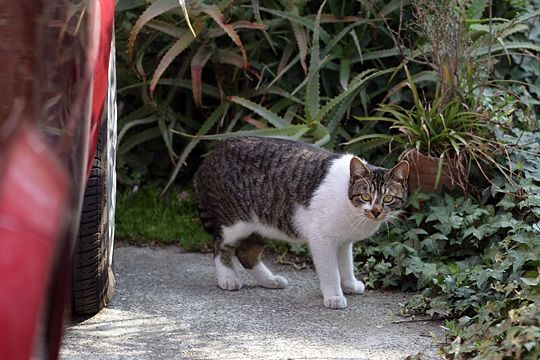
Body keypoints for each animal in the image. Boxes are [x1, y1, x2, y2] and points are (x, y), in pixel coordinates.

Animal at [194, 136, 410, 308]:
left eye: (388, 199)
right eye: (366, 196)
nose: (376, 211)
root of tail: (214, 152)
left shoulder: (343, 241)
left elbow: (346, 264)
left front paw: (349, 284)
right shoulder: (321, 238)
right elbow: (331, 271)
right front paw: (334, 296)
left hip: (263, 225)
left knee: (246, 253)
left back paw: (270, 280)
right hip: (236, 222)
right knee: (221, 246)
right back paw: (228, 278)